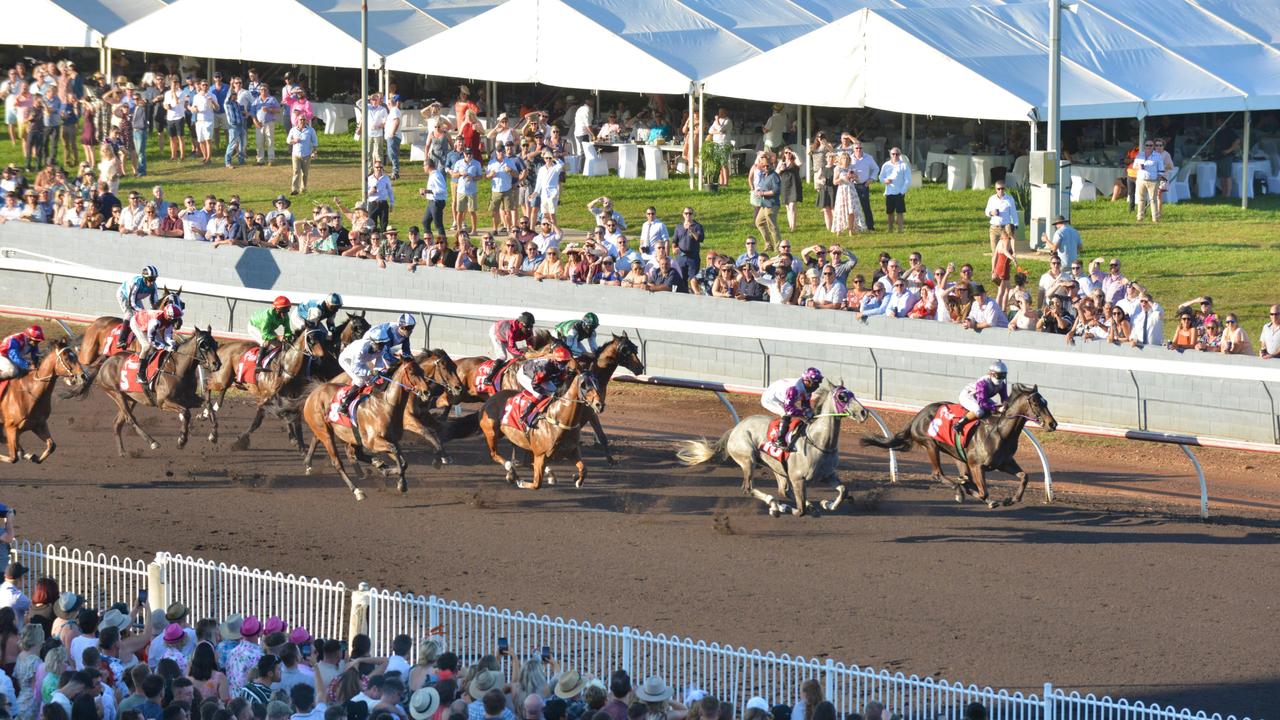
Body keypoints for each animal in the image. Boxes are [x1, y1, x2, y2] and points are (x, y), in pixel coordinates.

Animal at [70, 326, 222, 453]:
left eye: (215, 344)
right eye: (203, 345)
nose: (217, 364)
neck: (178, 368)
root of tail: (106, 361)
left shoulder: (188, 397)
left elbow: (207, 404)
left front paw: (213, 435)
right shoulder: (163, 402)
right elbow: (186, 412)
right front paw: (182, 440)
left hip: (130, 398)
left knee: (117, 422)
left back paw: (122, 452)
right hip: (115, 393)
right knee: (130, 419)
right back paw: (152, 442)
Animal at [299, 358, 435, 499]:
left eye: (422, 371)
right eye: (412, 372)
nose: (427, 392)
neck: (386, 405)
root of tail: (313, 393)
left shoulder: (391, 439)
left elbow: (402, 461)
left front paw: (387, 471)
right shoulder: (372, 441)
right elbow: (395, 452)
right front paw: (401, 483)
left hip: (351, 436)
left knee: (355, 453)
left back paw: (376, 464)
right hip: (325, 433)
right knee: (337, 462)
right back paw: (357, 490)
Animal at [670, 384, 870, 512]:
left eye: (852, 393)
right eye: (842, 396)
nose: (864, 412)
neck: (820, 442)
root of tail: (736, 428)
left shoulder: (827, 475)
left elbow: (843, 491)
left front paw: (827, 504)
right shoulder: (798, 478)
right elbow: (800, 504)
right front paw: (806, 507)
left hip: (777, 467)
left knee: (783, 490)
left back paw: (785, 505)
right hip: (748, 459)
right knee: (749, 488)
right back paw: (776, 505)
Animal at [860, 384, 1059, 507]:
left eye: (1046, 402)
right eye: (1035, 403)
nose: (1053, 424)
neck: (999, 433)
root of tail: (918, 415)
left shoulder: (1004, 463)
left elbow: (1024, 476)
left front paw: (1011, 499)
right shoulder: (976, 465)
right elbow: (983, 492)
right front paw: (972, 491)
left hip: (957, 455)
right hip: (930, 445)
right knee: (937, 474)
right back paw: (959, 490)